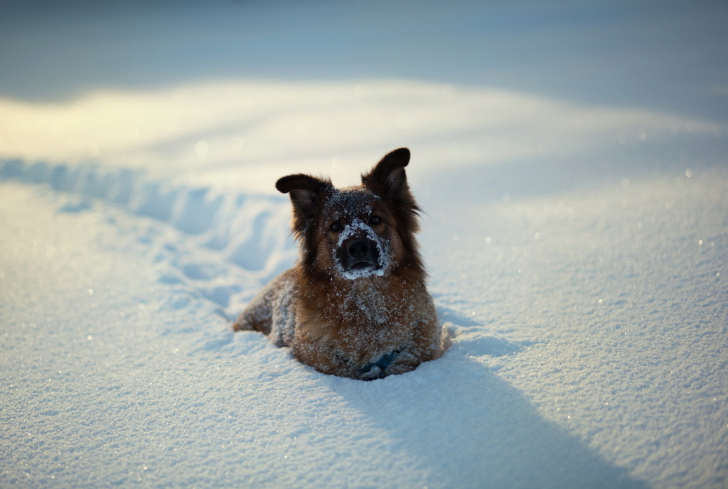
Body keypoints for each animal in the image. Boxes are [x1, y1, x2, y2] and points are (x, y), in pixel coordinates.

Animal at [233, 147, 444, 380]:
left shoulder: (423, 343)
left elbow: (407, 362)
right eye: (334, 226)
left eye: (375, 219)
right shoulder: (315, 353)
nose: (358, 246)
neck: (366, 304)